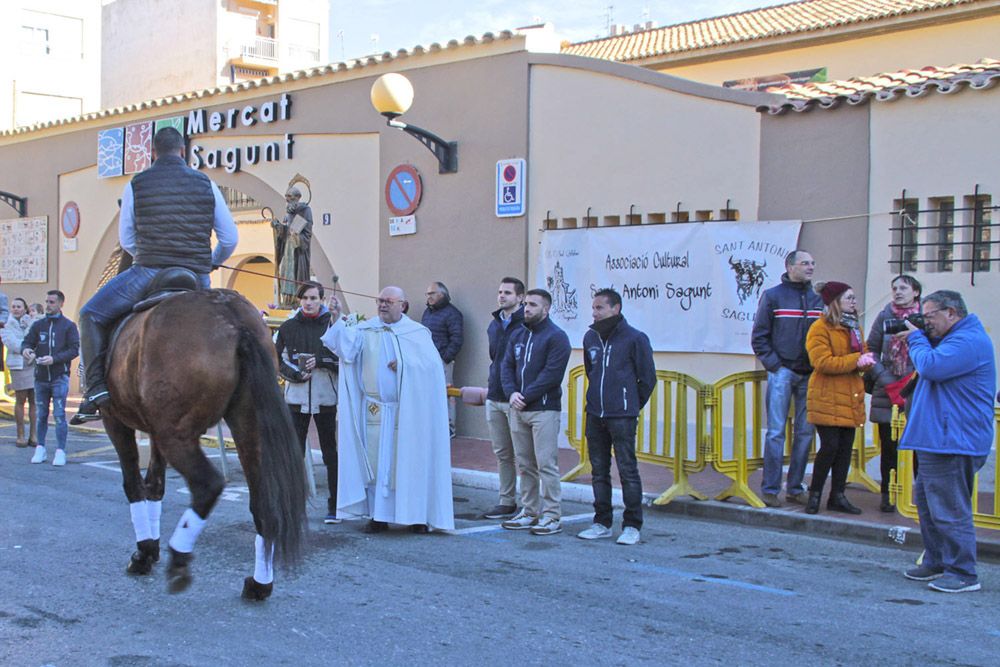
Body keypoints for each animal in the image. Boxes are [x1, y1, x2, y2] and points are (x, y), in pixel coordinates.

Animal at [101, 288, 306, 600]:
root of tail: (232, 319)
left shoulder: (115, 420)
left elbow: (134, 485)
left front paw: (144, 553)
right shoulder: (154, 430)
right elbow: (154, 486)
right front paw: (150, 551)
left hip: (176, 436)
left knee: (208, 484)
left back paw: (179, 559)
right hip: (247, 428)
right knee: (262, 505)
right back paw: (259, 584)